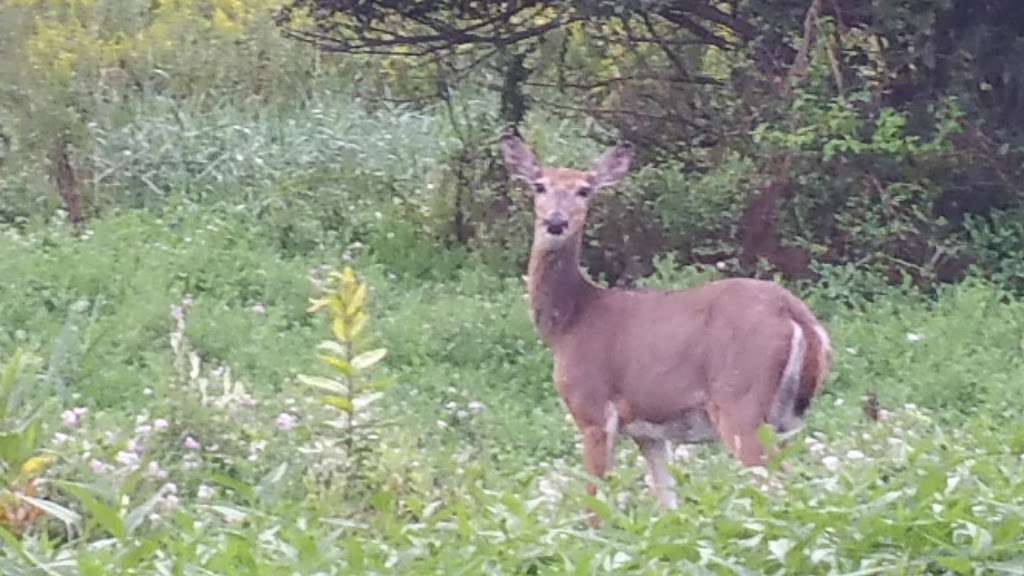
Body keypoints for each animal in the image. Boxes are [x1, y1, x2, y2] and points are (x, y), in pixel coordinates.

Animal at [501, 133, 831, 510]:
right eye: (539, 186)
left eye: (584, 190)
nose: (556, 222)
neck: (571, 321)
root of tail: (795, 314)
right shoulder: (649, 433)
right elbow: (668, 504)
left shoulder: (594, 411)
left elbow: (595, 505)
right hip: (788, 418)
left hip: (741, 402)